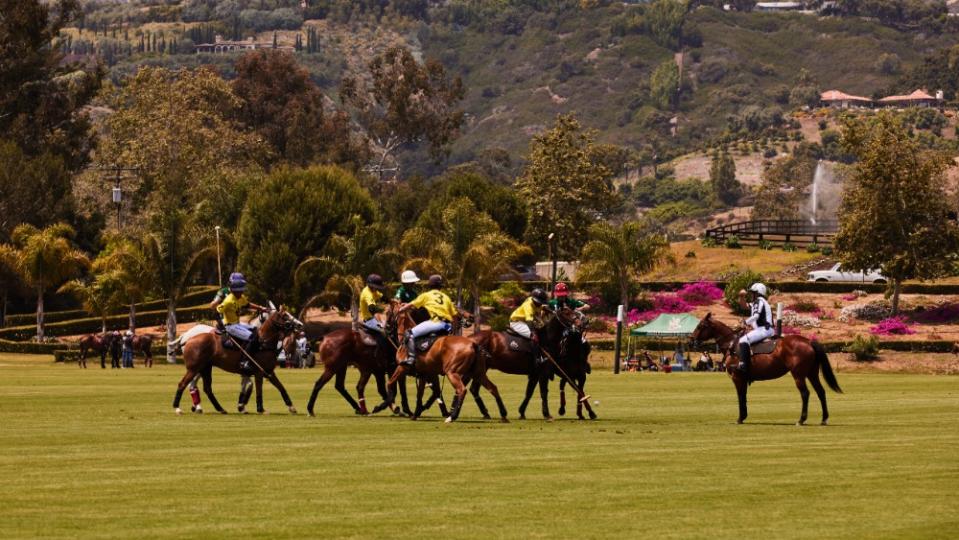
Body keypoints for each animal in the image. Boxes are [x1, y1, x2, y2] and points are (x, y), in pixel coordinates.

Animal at [172, 308, 300, 414]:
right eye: (285, 316)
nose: (299, 325)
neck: (263, 342)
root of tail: (187, 338)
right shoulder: (258, 372)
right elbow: (258, 389)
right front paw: (259, 408)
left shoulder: (268, 372)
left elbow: (280, 387)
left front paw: (292, 407)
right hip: (194, 368)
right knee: (184, 384)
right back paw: (179, 408)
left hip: (205, 368)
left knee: (206, 388)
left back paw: (219, 408)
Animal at [688, 312, 840, 426]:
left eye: (700, 326)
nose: (690, 341)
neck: (731, 345)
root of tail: (809, 341)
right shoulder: (743, 379)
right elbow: (744, 396)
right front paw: (743, 416)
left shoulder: (737, 377)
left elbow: (740, 396)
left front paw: (740, 418)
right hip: (812, 373)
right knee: (821, 392)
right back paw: (824, 419)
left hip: (798, 374)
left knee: (805, 393)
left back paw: (801, 420)